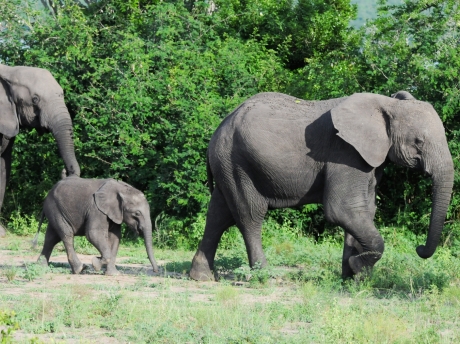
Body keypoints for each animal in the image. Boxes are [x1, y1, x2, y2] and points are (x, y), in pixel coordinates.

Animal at [189, 92, 454, 282]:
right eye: (419, 142)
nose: (420, 248)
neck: (387, 104)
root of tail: (220, 127)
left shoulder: (367, 158)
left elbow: (363, 210)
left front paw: (354, 278)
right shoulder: (345, 153)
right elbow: (342, 210)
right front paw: (358, 269)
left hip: (227, 162)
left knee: (218, 214)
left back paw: (201, 277)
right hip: (237, 162)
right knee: (249, 215)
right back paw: (264, 277)